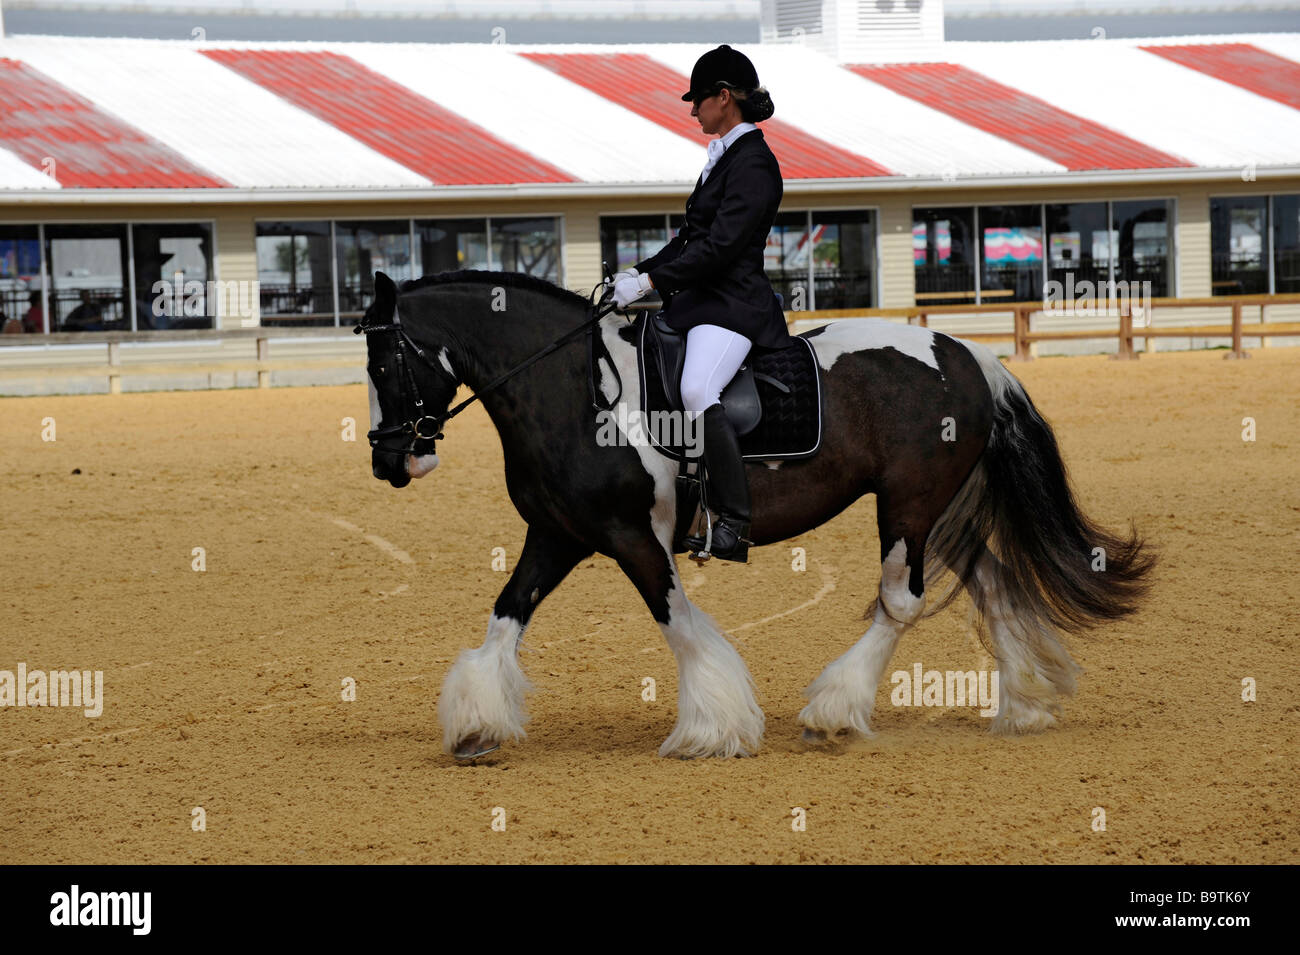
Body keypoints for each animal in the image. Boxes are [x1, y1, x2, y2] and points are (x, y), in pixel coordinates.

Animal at [358, 268, 1159, 764]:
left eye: (383, 364)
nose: (389, 461)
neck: (573, 388)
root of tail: (967, 355)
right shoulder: (558, 534)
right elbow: (505, 614)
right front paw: (475, 724)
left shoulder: (632, 538)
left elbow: (679, 623)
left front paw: (713, 728)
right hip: (939, 513)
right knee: (989, 581)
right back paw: (1025, 703)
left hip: (909, 506)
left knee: (901, 603)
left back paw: (834, 712)